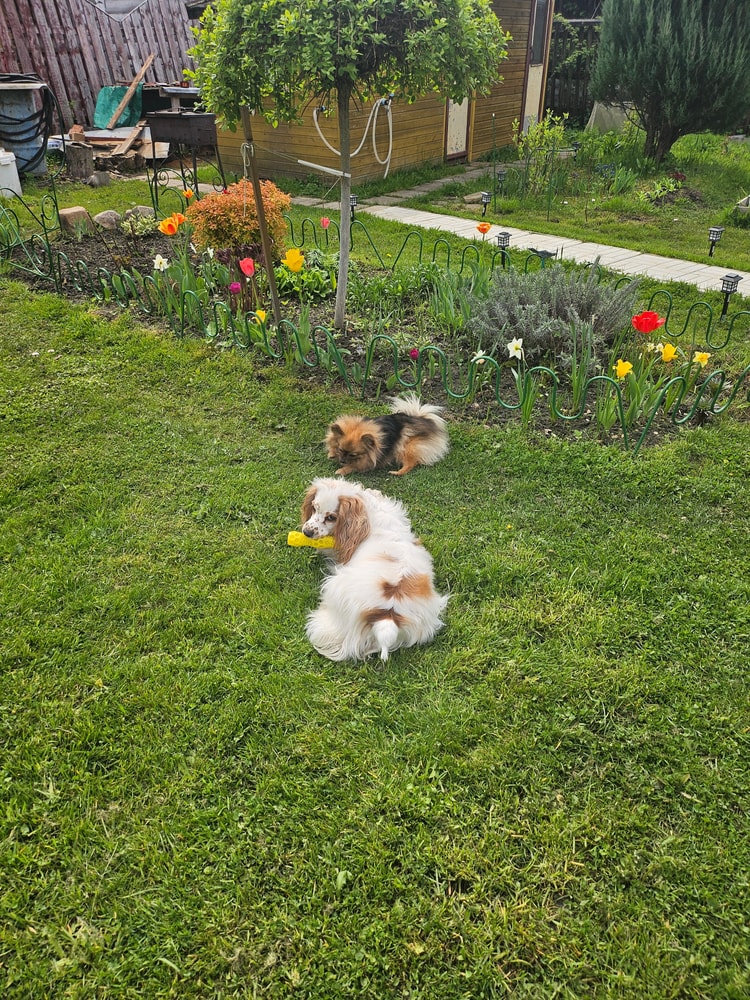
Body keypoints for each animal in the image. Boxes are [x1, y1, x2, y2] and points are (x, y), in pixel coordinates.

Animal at [300, 478, 448, 661]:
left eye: (331, 517)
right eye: (314, 507)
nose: (306, 532)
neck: (367, 511)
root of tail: (387, 616)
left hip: (334, 590)